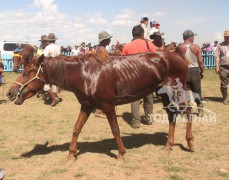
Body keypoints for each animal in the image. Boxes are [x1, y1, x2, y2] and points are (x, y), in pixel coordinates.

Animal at [7, 50, 192, 160]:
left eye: (26, 73)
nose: (10, 93)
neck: (86, 75)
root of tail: (179, 56)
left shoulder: (108, 105)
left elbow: (115, 129)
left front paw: (121, 153)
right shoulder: (86, 106)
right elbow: (76, 128)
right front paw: (71, 154)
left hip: (177, 91)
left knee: (187, 110)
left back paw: (189, 142)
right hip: (164, 93)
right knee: (171, 115)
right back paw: (168, 146)